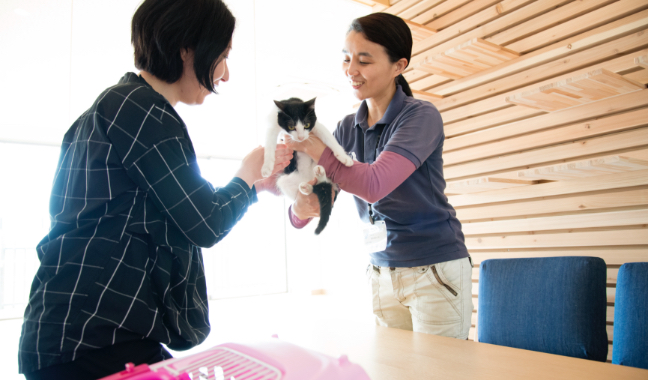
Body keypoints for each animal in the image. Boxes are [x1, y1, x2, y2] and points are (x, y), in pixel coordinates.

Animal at [262, 97, 354, 235]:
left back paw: (318, 177)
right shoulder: (274, 123)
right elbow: (269, 144)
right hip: (285, 181)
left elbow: (329, 138)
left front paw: (344, 158)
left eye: (306, 125)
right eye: (291, 126)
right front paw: (267, 167)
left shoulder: (316, 125)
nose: (301, 137)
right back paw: (307, 188)